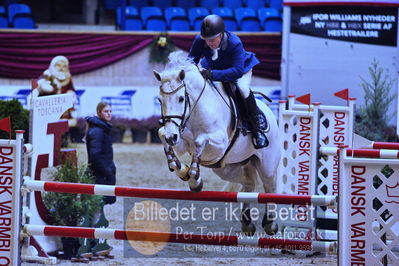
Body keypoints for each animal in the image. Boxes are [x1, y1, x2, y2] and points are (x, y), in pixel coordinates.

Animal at [153, 51, 282, 234]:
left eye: (180, 98)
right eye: (159, 100)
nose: (172, 137)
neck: (195, 110)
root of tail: (270, 113)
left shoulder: (219, 144)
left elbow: (200, 141)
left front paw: (194, 178)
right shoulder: (182, 141)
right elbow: (161, 133)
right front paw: (181, 169)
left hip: (267, 165)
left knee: (269, 187)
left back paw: (270, 223)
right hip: (227, 168)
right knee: (248, 183)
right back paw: (247, 223)